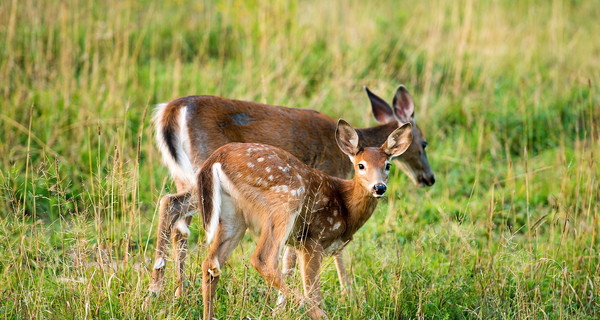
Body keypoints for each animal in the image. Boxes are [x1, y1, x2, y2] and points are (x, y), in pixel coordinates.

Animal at [148, 84, 434, 298]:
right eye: (424, 143)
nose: (429, 178)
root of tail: (170, 111)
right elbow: (327, 250)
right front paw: (348, 293)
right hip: (203, 175)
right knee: (171, 205)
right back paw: (156, 290)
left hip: (185, 176)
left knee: (179, 222)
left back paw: (178, 291)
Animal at [197, 120, 412, 320]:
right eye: (361, 165)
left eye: (387, 165)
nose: (379, 187)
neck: (346, 207)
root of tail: (217, 158)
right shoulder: (313, 240)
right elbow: (313, 290)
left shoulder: (301, 244)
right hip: (285, 201)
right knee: (263, 259)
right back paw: (320, 315)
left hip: (233, 215)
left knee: (211, 264)